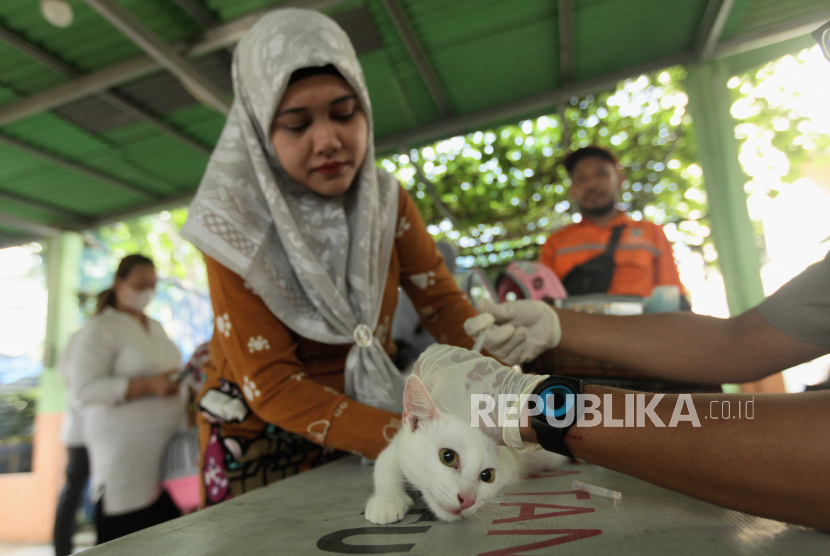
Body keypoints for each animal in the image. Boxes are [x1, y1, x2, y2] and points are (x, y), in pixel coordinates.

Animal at [364, 374, 564, 520]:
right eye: (448, 456)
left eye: (487, 475)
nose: (467, 500)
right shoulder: (397, 443)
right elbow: (384, 462)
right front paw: (387, 500)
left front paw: (386, 502)